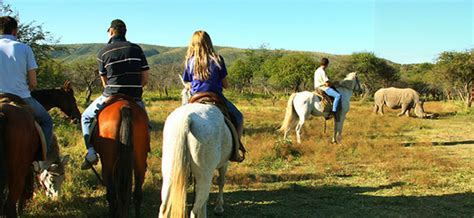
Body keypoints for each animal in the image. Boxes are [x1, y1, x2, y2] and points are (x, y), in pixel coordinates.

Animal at [160, 86, 232, 217]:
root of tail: (187, 119)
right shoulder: (225, 163)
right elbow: (221, 181)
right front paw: (219, 207)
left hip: (169, 173)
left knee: (164, 208)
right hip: (205, 176)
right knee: (194, 210)